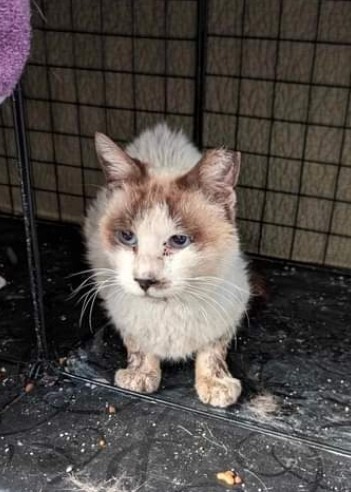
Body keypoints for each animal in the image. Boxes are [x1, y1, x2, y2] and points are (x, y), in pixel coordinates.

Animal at [84, 123, 252, 408]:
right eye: (127, 236)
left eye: (179, 240)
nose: (144, 281)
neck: (168, 307)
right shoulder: (117, 303)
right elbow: (138, 343)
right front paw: (140, 374)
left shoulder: (232, 302)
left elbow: (213, 349)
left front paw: (216, 384)